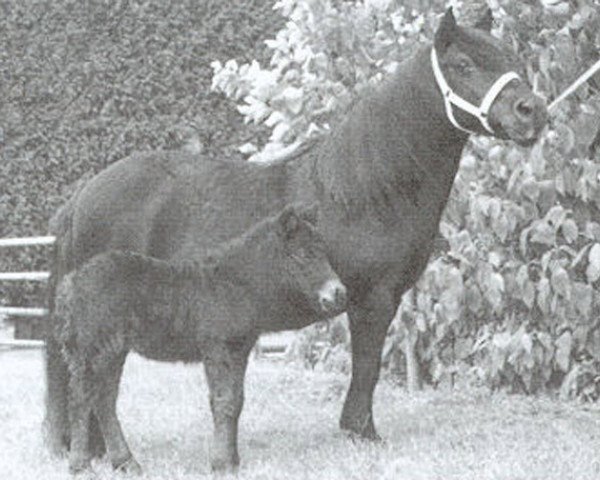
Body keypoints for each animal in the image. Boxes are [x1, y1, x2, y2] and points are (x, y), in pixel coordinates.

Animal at [43, 7, 548, 468]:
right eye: (463, 64)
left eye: (511, 59)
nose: (533, 112)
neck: (365, 190)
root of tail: (81, 198)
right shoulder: (374, 298)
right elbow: (367, 365)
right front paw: (361, 432)